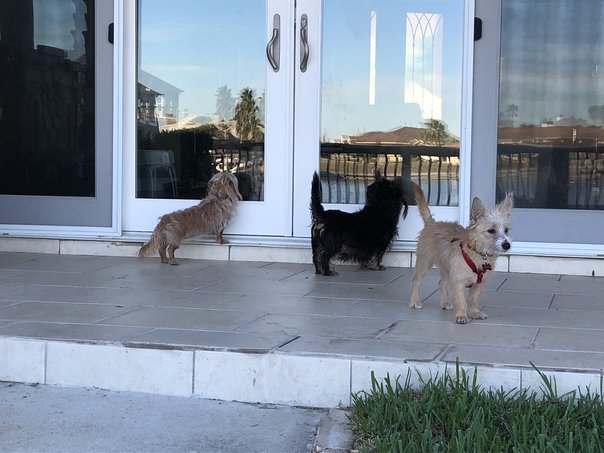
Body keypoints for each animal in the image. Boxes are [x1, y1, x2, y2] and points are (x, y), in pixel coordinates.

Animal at [409, 185, 513, 324]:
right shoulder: (458, 281)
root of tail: (432, 223)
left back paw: (445, 302)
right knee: (416, 282)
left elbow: (473, 299)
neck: (480, 255)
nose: (507, 245)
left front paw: (474, 313)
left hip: (447, 268)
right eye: (491, 230)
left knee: (442, 283)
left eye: (506, 230)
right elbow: (461, 300)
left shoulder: (479, 283)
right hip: (424, 264)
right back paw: (415, 301)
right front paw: (461, 316)